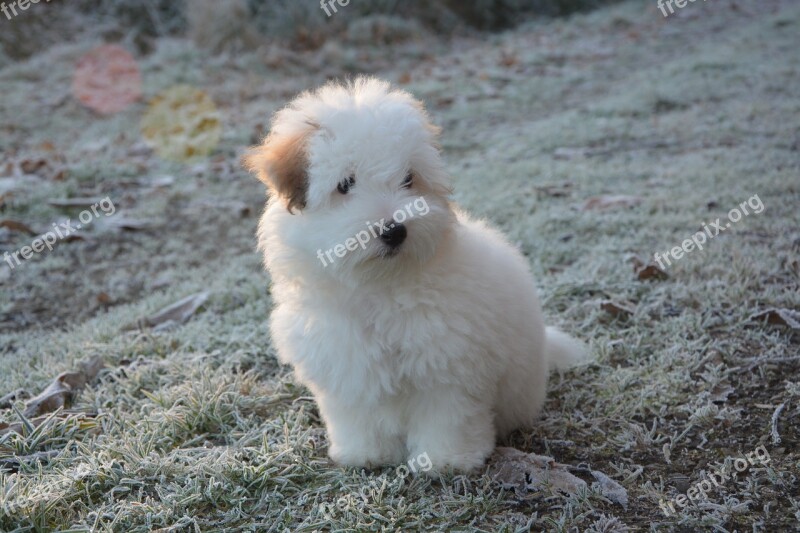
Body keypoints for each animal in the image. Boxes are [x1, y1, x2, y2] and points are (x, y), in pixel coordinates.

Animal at [244, 77, 588, 472]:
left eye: (408, 179)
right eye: (345, 184)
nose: (395, 230)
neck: (379, 285)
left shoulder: (447, 365)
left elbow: (447, 415)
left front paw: (446, 459)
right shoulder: (346, 365)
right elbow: (359, 416)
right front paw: (366, 453)